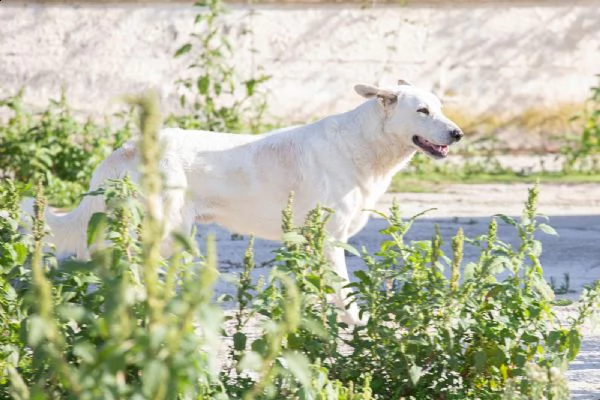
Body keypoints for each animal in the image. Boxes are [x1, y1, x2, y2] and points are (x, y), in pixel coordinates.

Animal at [31, 80, 464, 322]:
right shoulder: (329, 239)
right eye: (422, 111)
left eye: (440, 108)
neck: (367, 144)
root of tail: (126, 148)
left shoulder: (308, 241)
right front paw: (359, 324)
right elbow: (343, 292)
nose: (458, 134)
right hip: (161, 230)